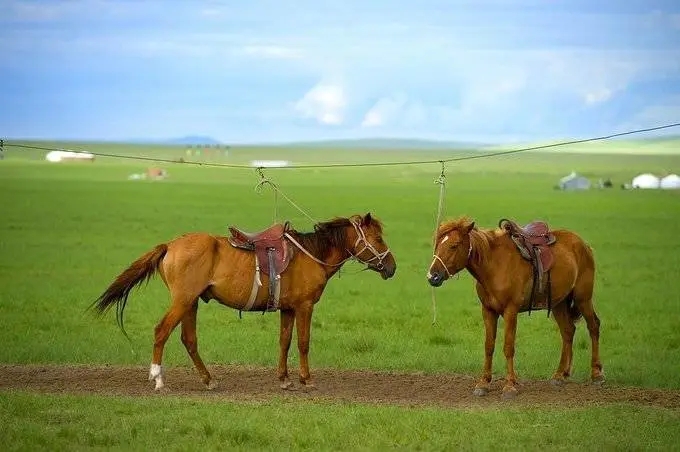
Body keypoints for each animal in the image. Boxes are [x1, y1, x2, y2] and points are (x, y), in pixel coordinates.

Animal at [93, 214, 396, 390]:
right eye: (378, 238)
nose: (392, 267)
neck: (311, 254)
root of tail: (170, 245)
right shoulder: (304, 307)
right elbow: (303, 342)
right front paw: (306, 379)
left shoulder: (287, 309)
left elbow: (284, 341)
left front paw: (285, 379)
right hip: (183, 300)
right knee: (161, 331)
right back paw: (158, 379)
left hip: (191, 303)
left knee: (189, 339)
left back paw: (209, 379)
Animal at [428, 217, 604, 398]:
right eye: (437, 244)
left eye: (454, 245)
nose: (432, 276)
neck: (494, 264)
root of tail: (583, 244)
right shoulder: (488, 311)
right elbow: (489, 346)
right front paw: (483, 383)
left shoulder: (510, 311)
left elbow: (508, 347)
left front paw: (510, 385)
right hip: (559, 303)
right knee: (568, 331)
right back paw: (560, 374)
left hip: (583, 298)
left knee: (593, 326)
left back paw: (596, 373)